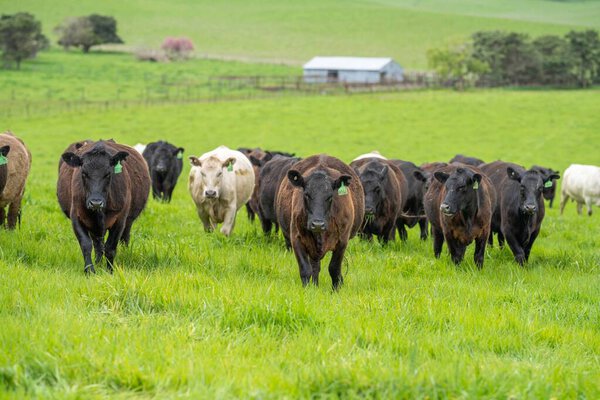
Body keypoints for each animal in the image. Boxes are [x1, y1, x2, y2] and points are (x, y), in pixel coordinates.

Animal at [57, 139, 150, 274]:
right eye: (84, 173)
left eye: (108, 174)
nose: (96, 202)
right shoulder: (76, 217)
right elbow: (86, 245)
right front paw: (90, 270)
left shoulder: (120, 220)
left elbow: (110, 248)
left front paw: (110, 271)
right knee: (97, 244)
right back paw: (98, 262)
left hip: (128, 221)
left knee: (124, 239)